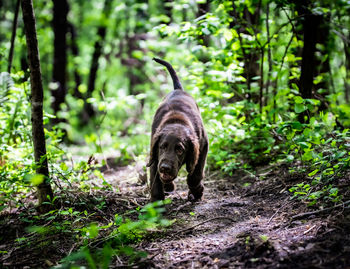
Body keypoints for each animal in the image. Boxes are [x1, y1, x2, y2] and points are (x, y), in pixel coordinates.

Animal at [147, 58, 208, 201]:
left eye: (180, 149)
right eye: (162, 147)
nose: (165, 168)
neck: (176, 121)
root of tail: (178, 89)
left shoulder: (203, 146)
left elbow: (195, 173)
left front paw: (197, 191)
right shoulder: (154, 151)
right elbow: (154, 177)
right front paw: (156, 202)